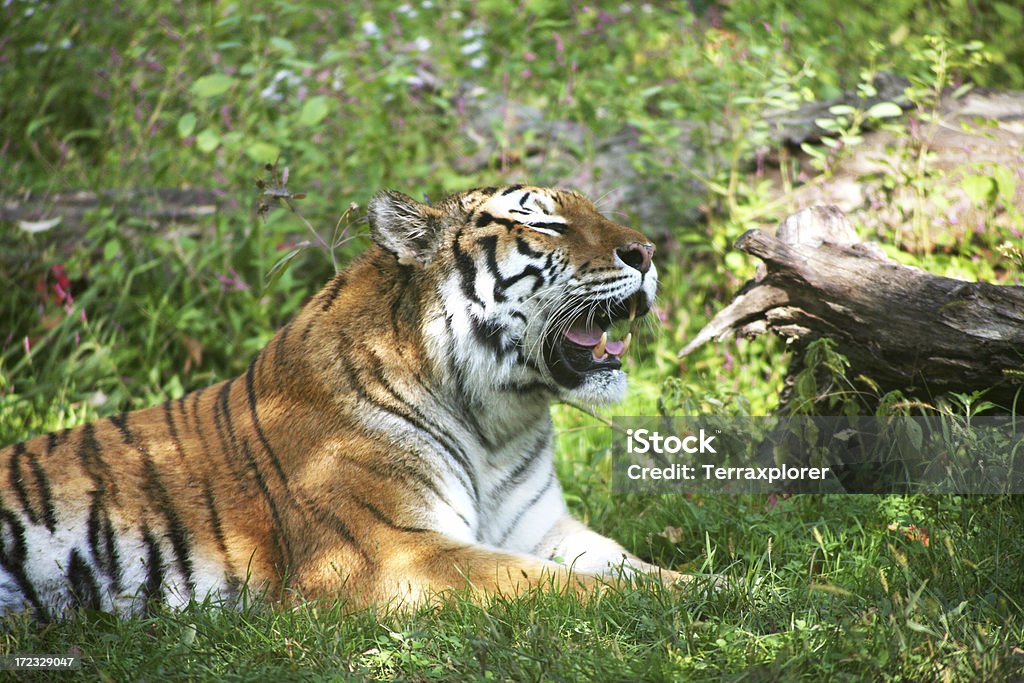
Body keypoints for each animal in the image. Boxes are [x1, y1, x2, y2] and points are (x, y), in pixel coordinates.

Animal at [2, 183, 688, 618]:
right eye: (547, 223)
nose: (649, 252)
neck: (498, 423)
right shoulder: (393, 552)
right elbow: (576, 586)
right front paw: (709, 605)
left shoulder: (544, 528)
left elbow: (633, 568)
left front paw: (708, 581)